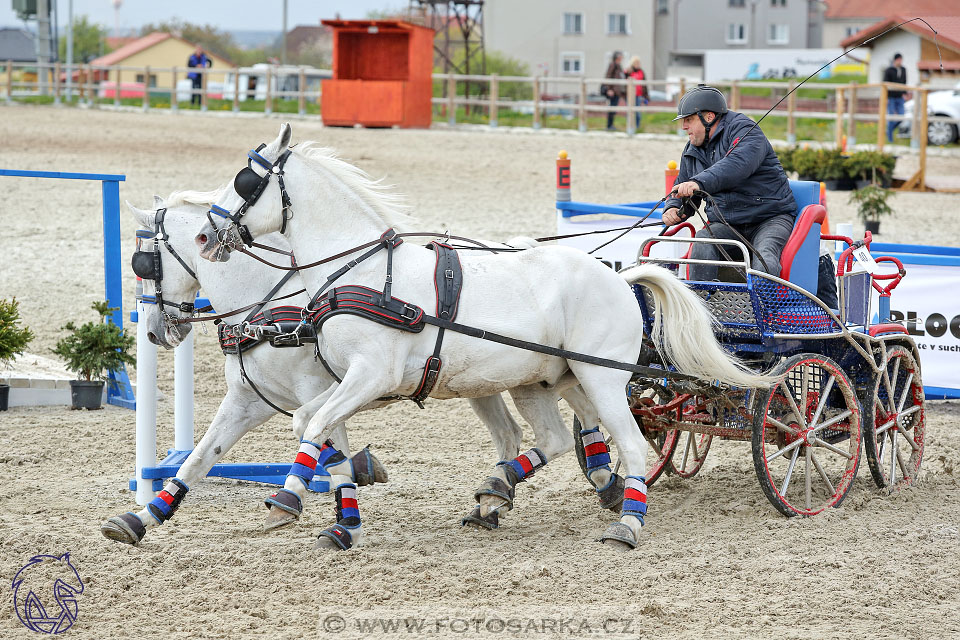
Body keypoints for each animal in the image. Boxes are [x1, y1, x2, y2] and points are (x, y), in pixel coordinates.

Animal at [197, 125, 772, 552]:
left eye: (244, 181)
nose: (206, 234)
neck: (361, 271)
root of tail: (619, 275)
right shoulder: (343, 381)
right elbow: (313, 424)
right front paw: (334, 513)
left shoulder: (371, 375)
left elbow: (312, 424)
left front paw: (298, 504)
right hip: (539, 380)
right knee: (560, 437)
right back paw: (500, 493)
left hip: (602, 377)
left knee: (629, 442)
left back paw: (627, 524)